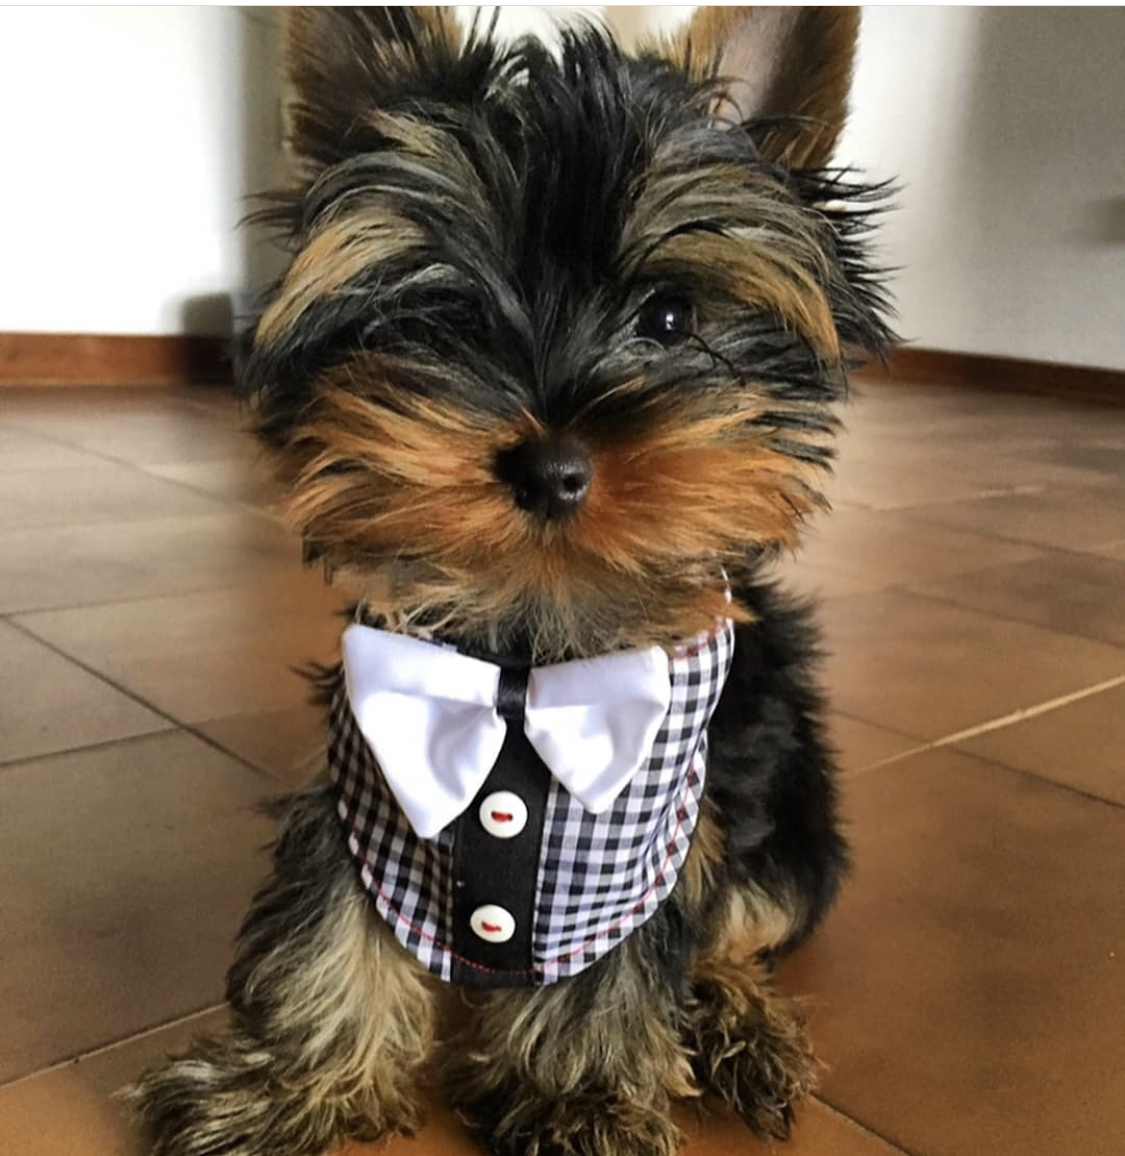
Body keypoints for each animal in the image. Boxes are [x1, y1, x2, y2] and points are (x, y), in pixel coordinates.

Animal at [127, 9, 892, 1156]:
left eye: (671, 317)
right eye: (443, 314)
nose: (549, 465)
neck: (529, 653)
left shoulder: (646, 826)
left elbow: (627, 949)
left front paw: (579, 1097)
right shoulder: (369, 775)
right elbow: (328, 915)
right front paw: (289, 1083)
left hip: (786, 811)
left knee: (739, 916)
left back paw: (740, 1024)